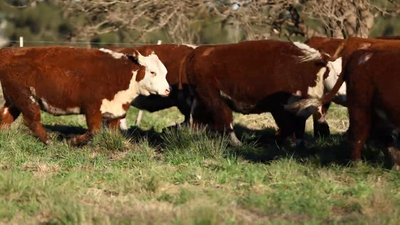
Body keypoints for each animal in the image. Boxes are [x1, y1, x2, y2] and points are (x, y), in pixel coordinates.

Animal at [0, 46, 170, 147]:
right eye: (153, 72)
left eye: (165, 72)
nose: (168, 90)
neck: (119, 73)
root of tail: (9, 51)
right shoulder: (92, 107)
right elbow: (94, 130)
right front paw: (73, 141)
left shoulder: (116, 111)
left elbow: (112, 132)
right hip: (26, 98)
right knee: (32, 120)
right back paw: (49, 141)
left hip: (13, 100)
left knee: (5, 118)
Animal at [185, 39, 338, 147]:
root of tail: (197, 52)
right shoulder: (283, 107)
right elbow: (289, 127)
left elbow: (296, 127)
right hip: (212, 97)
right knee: (224, 119)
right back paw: (237, 143)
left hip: (203, 98)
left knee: (197, 118)